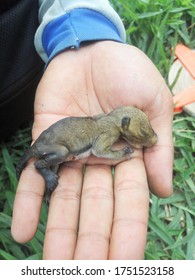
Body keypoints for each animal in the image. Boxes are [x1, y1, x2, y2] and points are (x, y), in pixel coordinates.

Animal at [16, 106, 157, 200]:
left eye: (151, 125)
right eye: (143, 133)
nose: (156, 140)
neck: (111, 118)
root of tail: (35, 145)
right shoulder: (110, 132)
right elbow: (98, 150)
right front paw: (123, 153)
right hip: (52, 150)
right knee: (41, 162)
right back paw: (48, 177)